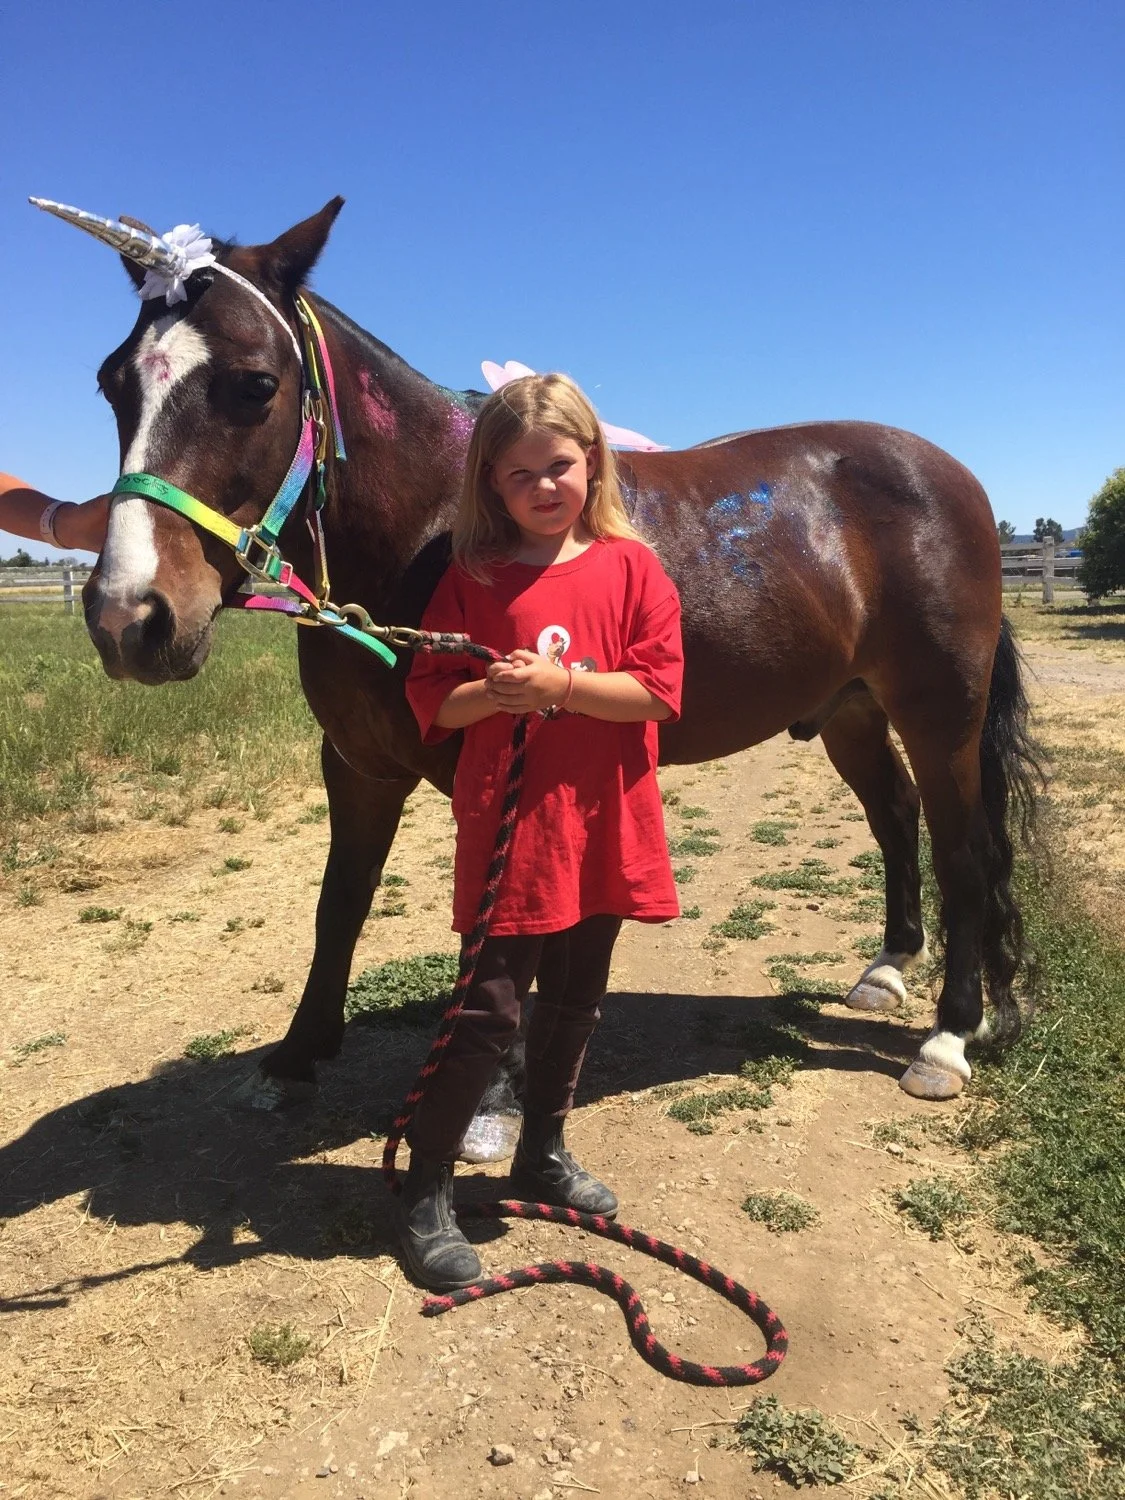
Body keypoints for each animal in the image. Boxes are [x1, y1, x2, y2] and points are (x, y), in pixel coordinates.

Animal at [38, 196, 1039, 1142]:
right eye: (112, 384)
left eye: (254, 384)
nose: (130, 619)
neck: (433, 529)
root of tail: (951, 477)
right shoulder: (357, 767)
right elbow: (340, 905)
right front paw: (295, 1058)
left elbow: (492, 927)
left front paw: (490, 1096)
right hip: (848, 710)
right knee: (897, 818)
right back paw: (888, 972)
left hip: (939, 714)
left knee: (963, 849)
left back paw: (949, 1037)